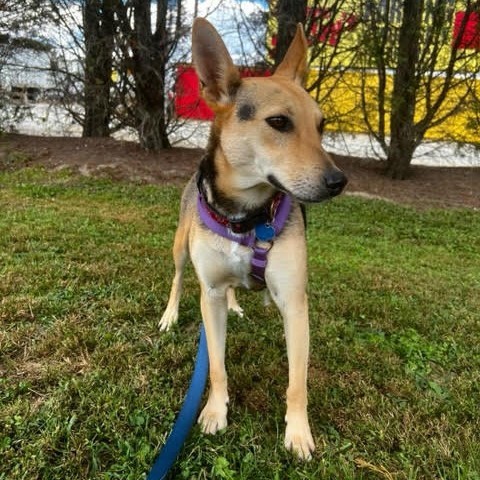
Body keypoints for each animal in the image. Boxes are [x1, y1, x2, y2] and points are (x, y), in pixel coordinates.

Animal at [159, 19, 346, 462]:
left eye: (321, 125)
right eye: (278, 122)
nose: (339, 182)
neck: (246, 217)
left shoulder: (294, 303)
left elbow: (297, 382)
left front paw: (298, 433)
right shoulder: (208, 291)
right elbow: (216, 365)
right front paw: (214, 412)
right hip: (180, 246)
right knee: (177, 278)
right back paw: (170, 315)